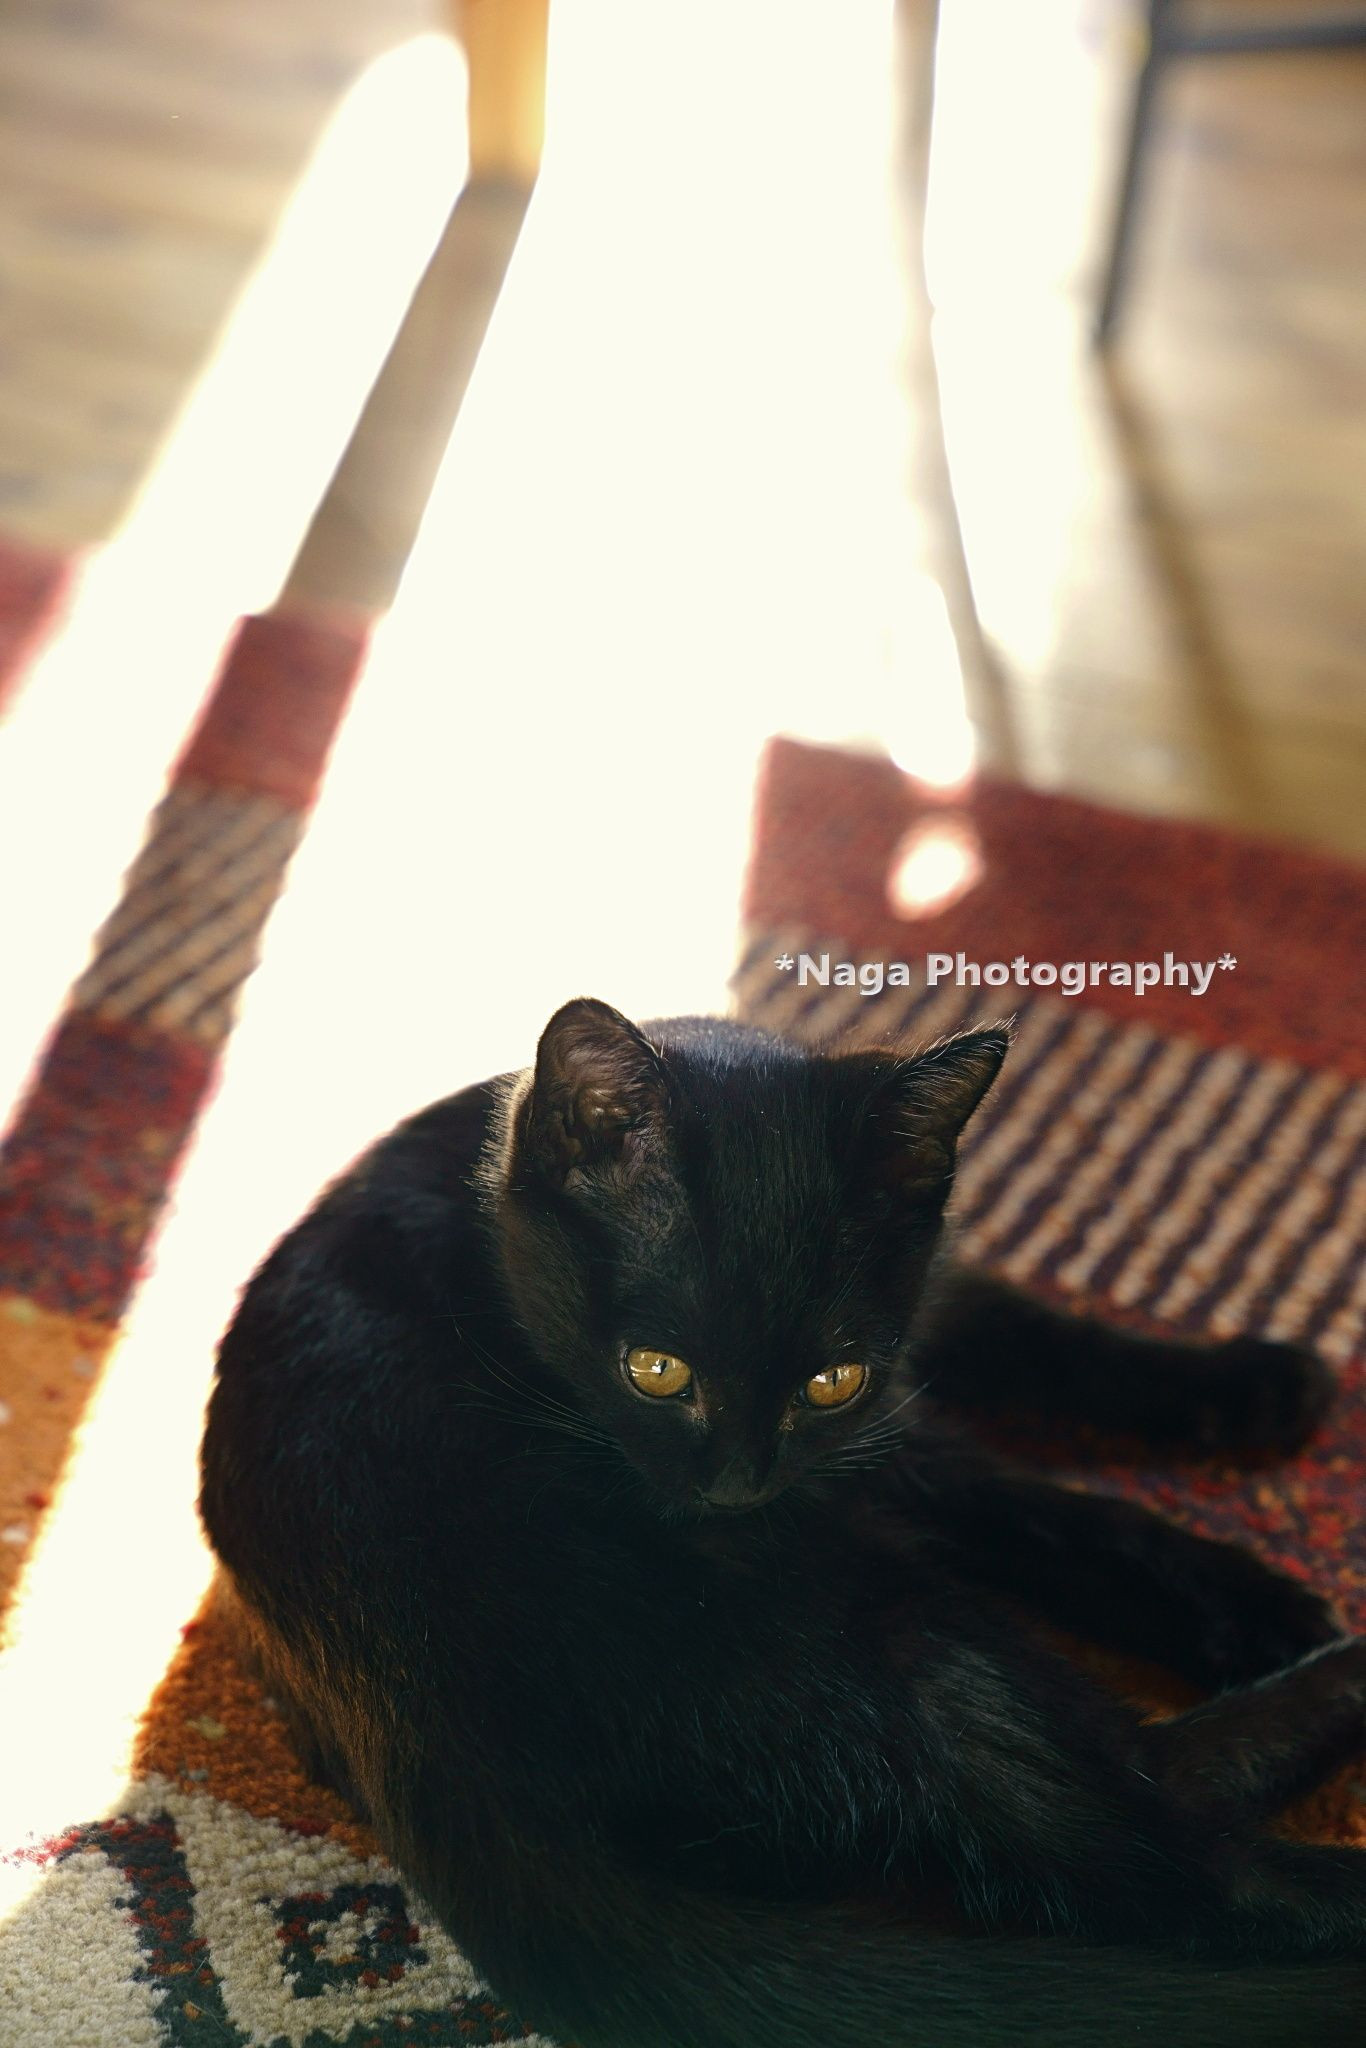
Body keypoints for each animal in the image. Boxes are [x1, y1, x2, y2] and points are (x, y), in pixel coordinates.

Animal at [199, 998, 1366, 2046]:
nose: (737, 1485)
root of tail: (422, 1756)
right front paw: (1261, 1600)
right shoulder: (877, 1464)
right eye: (655, 1370)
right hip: (876, 1620)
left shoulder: (907, 1337)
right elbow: (1034, 1500)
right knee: (1148, 1850)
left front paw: (1251, 1392)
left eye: (829, 1378)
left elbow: (1042, 1338)